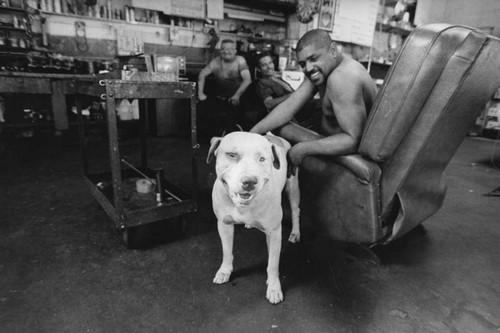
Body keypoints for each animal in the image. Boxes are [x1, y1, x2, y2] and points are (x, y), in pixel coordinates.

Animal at [207, 131, 300, 302]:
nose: (249, 181)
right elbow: (227, 252)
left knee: (296, 210)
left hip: (292, 186)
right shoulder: (224, 224)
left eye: (262, 159)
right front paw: (224, 271)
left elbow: (273, 264)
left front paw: (274, 287)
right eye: (232, 155)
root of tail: (274, 136)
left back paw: (295, 233)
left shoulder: (275, 232)